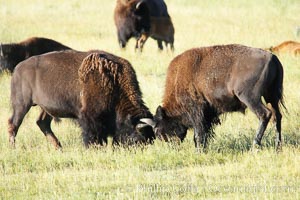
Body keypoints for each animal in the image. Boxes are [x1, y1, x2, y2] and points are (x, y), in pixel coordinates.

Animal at [8, 49, 155, 148]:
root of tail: (17, 69)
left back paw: (59, 148)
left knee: (42, 123)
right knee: (13, 124)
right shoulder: (88, 117)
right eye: (138, 138)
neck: (113, 81)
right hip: (22, 105)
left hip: (45, 108)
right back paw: (13, 148)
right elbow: (92, 134)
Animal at [141, 44, 286, 152]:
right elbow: (206, 132)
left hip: (250, 98)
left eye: (159, 132)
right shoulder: (208, 114)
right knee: (277, 116)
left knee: (265, 114)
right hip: (271, 97)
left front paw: (199, 151)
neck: (178, 80)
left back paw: (255, 146)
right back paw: (278, 146)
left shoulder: (196, 111)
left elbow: (199, 133)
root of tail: (272, 57)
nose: (172, 147)